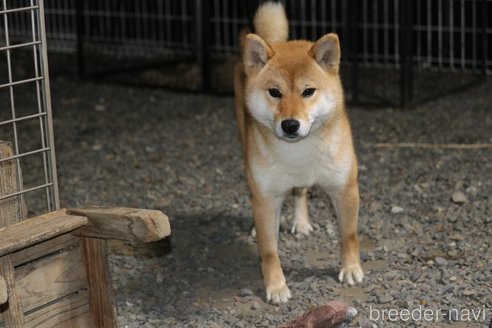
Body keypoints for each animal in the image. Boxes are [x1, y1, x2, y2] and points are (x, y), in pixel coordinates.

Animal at [234, 1, 366, 304]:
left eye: (308, 91)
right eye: (274, 92)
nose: (290, 124)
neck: (299, 155)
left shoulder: (345, 189)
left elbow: (349, 234)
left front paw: (351, 269)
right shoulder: (267, 199)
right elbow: (269, 251)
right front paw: (276, 287)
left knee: (301, 190)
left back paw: (302, 221)